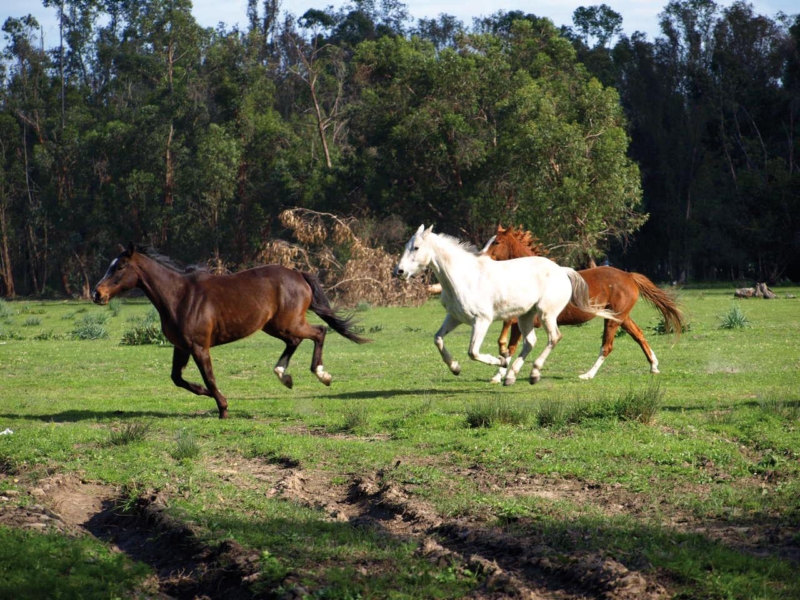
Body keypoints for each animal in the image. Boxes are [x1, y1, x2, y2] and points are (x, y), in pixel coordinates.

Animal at [93, 244, 368, 418]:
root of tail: (298, 273)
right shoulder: (181, 347)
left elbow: (209, 377)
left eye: (120, 267)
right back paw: (284, 376)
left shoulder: (199, 347)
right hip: (275, 326)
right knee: (296, 341)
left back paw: (322, 375)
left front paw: (223, 408)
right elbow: (178, 378)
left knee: (319, 331)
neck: (179, 297)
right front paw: (210, 397)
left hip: (288, 323)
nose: (97, 294)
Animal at [394, 225, 620, 384]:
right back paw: (511, 376)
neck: (464, 277)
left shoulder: (482, 321)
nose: (399, 271)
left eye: (416, 248)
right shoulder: (455, 317)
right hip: (525, 316)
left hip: (546, 314)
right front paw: (455, 368)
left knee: (554, 338)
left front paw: (499, 361)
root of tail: (562, 270)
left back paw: (533, 373)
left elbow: (473, 352)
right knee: (530, 342)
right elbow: (438, 339)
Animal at [484, 225, 684, 380]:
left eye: (497, 242)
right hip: (620, 317)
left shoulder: (526, 319)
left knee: (607, 346)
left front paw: (499, 372)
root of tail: (629, 276)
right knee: (638, 335)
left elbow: (509, 344)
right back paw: (654, 366)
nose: (481, 257)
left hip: (613, 320)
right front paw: (499, 372)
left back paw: (588, 375)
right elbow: (510, 344)